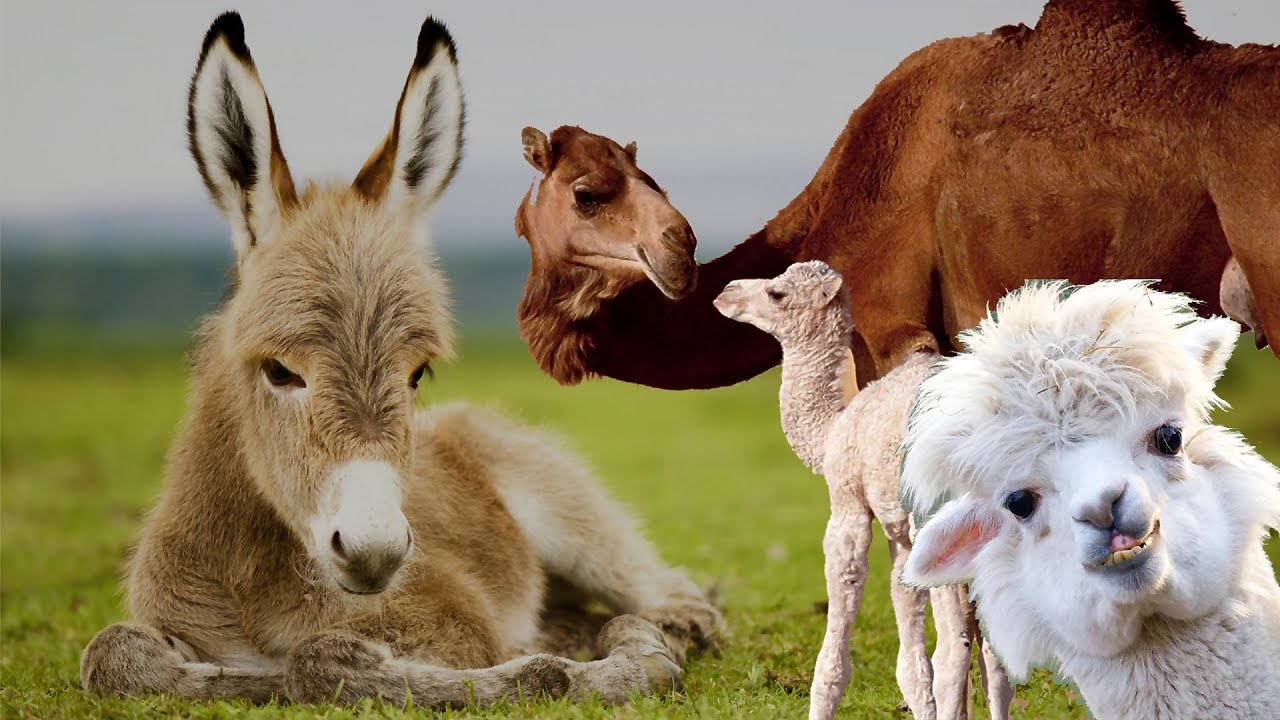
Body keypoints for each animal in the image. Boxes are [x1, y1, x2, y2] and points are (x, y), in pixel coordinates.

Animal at [79, 13, 721, 707]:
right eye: (279, 370)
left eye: (418, 374)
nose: (375, 550)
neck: (250, 582)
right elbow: (111, 652)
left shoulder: (456, 630)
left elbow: (321, 659)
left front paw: (602, 664)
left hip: (579, 526)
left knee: (681, 602)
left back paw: (645, 635)